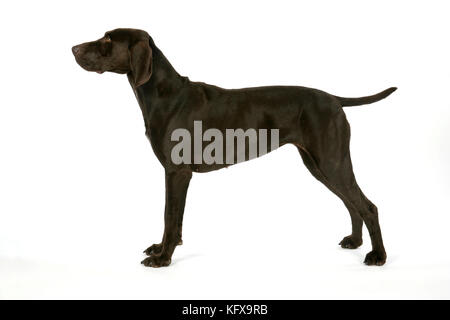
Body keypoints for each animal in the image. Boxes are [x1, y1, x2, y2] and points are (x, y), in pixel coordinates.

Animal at [72, 28, 396, 268]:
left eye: (107, 40)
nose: (73, 49)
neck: (164, 94)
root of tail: (334, 99)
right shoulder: (175, 174)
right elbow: (173, 217)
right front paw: (162, 248)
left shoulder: (177, 172)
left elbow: (169, 216)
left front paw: (163, 257)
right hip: (319, 165)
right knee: (351, 204)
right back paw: (355, 242)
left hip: (331, 161)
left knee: (368, 206)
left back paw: (378, 255)